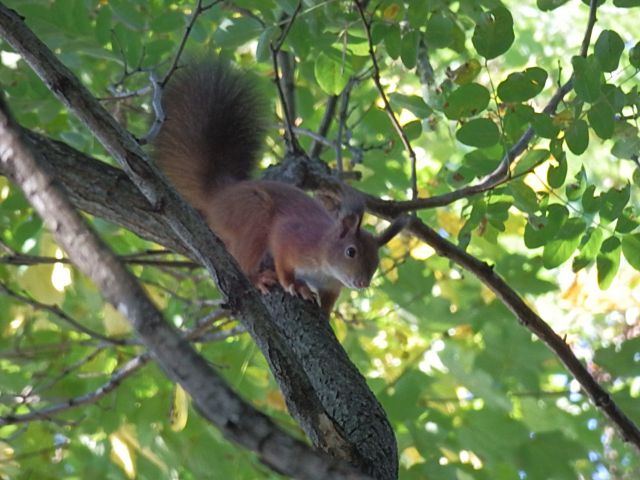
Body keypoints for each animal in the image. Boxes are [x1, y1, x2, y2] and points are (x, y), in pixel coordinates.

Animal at [154, 60, 404, 316]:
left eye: (376, 261)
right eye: (351, 251)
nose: (362, 283)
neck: (326, 262)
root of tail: (219, 196)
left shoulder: (332, 287)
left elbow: (327, 302)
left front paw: (325, 315)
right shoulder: (293, 238)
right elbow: (283, 257)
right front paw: (293, 284)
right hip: (252, 213)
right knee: (245, 260)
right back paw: (258, 278)